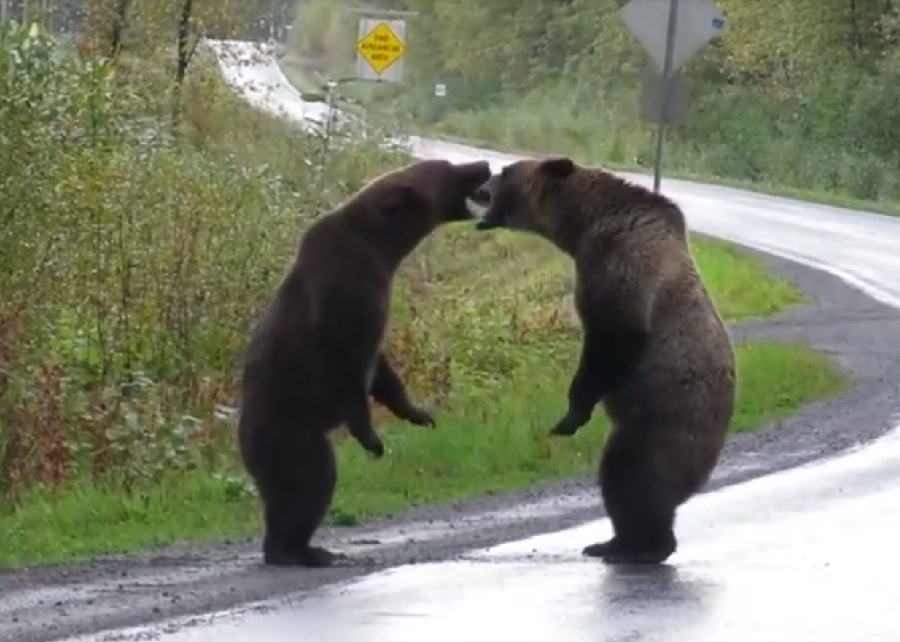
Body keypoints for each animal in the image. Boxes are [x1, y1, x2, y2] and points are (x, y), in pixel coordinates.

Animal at [237, 159, 492, 564]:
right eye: (449, 168)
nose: (482, 164)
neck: (382, 249)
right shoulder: (345, 294)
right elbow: (349, 366)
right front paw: (372, 439)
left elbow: (383, 371)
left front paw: (419, 413)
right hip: (289, 430)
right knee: (308, 481)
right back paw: (301, 550)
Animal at [474, 158, 736, 564]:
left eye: (505, 171)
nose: (479, 186)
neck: (585, 223)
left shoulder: (621, 264)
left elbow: (612, 338)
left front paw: (570, 416)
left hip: (663, 422)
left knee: (630, 477)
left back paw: (630, 546)